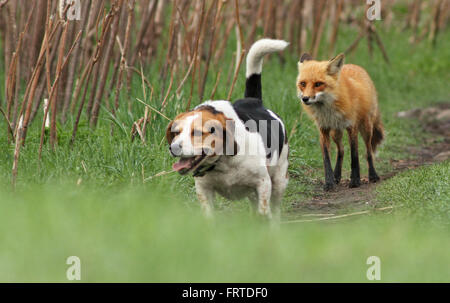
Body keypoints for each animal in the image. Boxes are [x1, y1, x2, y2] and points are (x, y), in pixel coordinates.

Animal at [167, 39, 290, 221]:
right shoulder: (204, 189)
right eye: (176, 133)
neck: (223, 162)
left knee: (274, 209)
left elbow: (263, 211)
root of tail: (253, 100)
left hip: (279, 180)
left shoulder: (263, 183)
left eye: (197, 132)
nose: (173, 147)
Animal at [298, 53, 384, 191]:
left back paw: (373, 175)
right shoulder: (323, 130)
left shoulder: (351, 127)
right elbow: (326, 159)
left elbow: (354, 155)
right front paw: (329, 182)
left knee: (368, 151)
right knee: (341, 150)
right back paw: (336, 176)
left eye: (318, 84)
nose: (305, 99)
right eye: (303, 83)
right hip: (335, 132)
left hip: (366, 128)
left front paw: (355, 181)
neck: (328, 110)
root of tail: (355, 65)